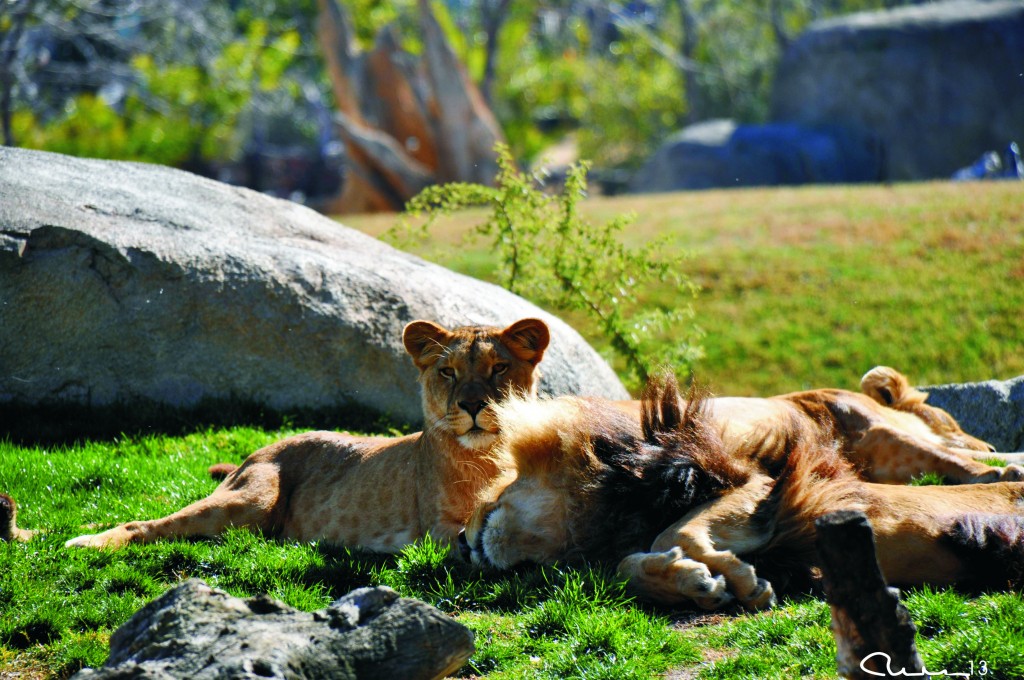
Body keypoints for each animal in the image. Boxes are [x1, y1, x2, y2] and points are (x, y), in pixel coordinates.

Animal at [44, 319, 552, 553]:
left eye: (499, 368)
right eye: (448, 372)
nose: (472, 405)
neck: (488, 455)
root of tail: (257, 450)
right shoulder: (436, 530)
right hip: (249, 500)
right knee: (145, 525)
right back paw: (85, 544)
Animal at [464, 376, 1024, 610]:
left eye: (490, 497)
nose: (460, 543)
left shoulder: (757, 480)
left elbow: (676, 533)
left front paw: (736, 578)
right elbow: (629, 564)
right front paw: (693, 585)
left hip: (880, 432)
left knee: (970, 462)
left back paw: (998, 462)